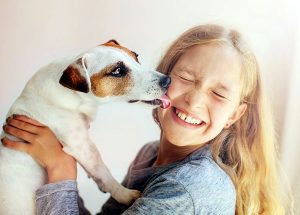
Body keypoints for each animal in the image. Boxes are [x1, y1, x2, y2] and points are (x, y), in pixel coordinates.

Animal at [0, 40, 171, 213]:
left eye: (136, 57)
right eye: (117, 71)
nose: (167, 80)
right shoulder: (82, 146)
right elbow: (103, 171)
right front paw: (124, 194)